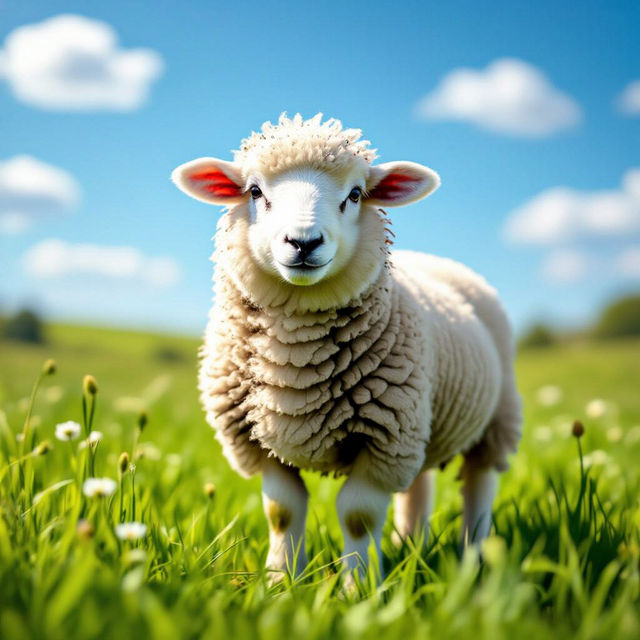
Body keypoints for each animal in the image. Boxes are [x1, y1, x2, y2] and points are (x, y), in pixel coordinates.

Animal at [172, 113, 522, 581]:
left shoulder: (382, 441)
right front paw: (281, 580)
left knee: (480, 487)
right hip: (421, 425)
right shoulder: (259, 441)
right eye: (255, 191)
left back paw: (474, 559)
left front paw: (359, 586)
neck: (295, 360)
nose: (303, 242)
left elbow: (358, 516)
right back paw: (409, 546)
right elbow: (281, 511)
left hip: (494, 419)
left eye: (355, 194)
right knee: (418, 486)